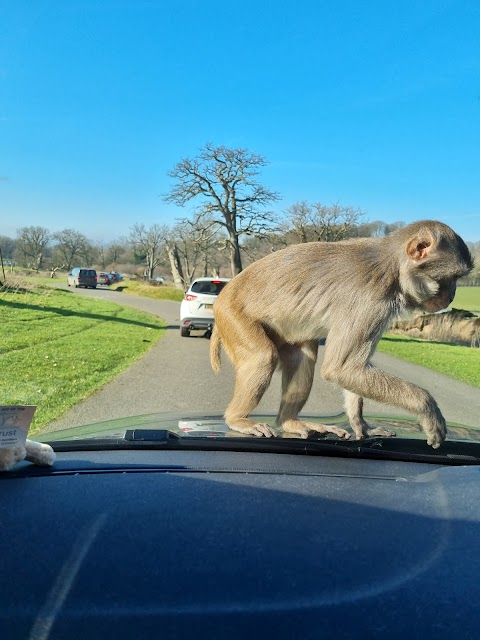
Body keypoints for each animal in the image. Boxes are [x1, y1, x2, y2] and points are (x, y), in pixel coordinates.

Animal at [210, 220, 472, 450]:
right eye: (452, 278)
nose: (452, 296)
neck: (393, 268)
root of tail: (224, 292)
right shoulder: (370, 301)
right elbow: (341, 368)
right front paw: (428, 409)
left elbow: (352, 369)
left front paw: (361, 424)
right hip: (232, 315)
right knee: (264, 356)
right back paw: (236, 419)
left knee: (303, 358)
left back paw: (289, 422)